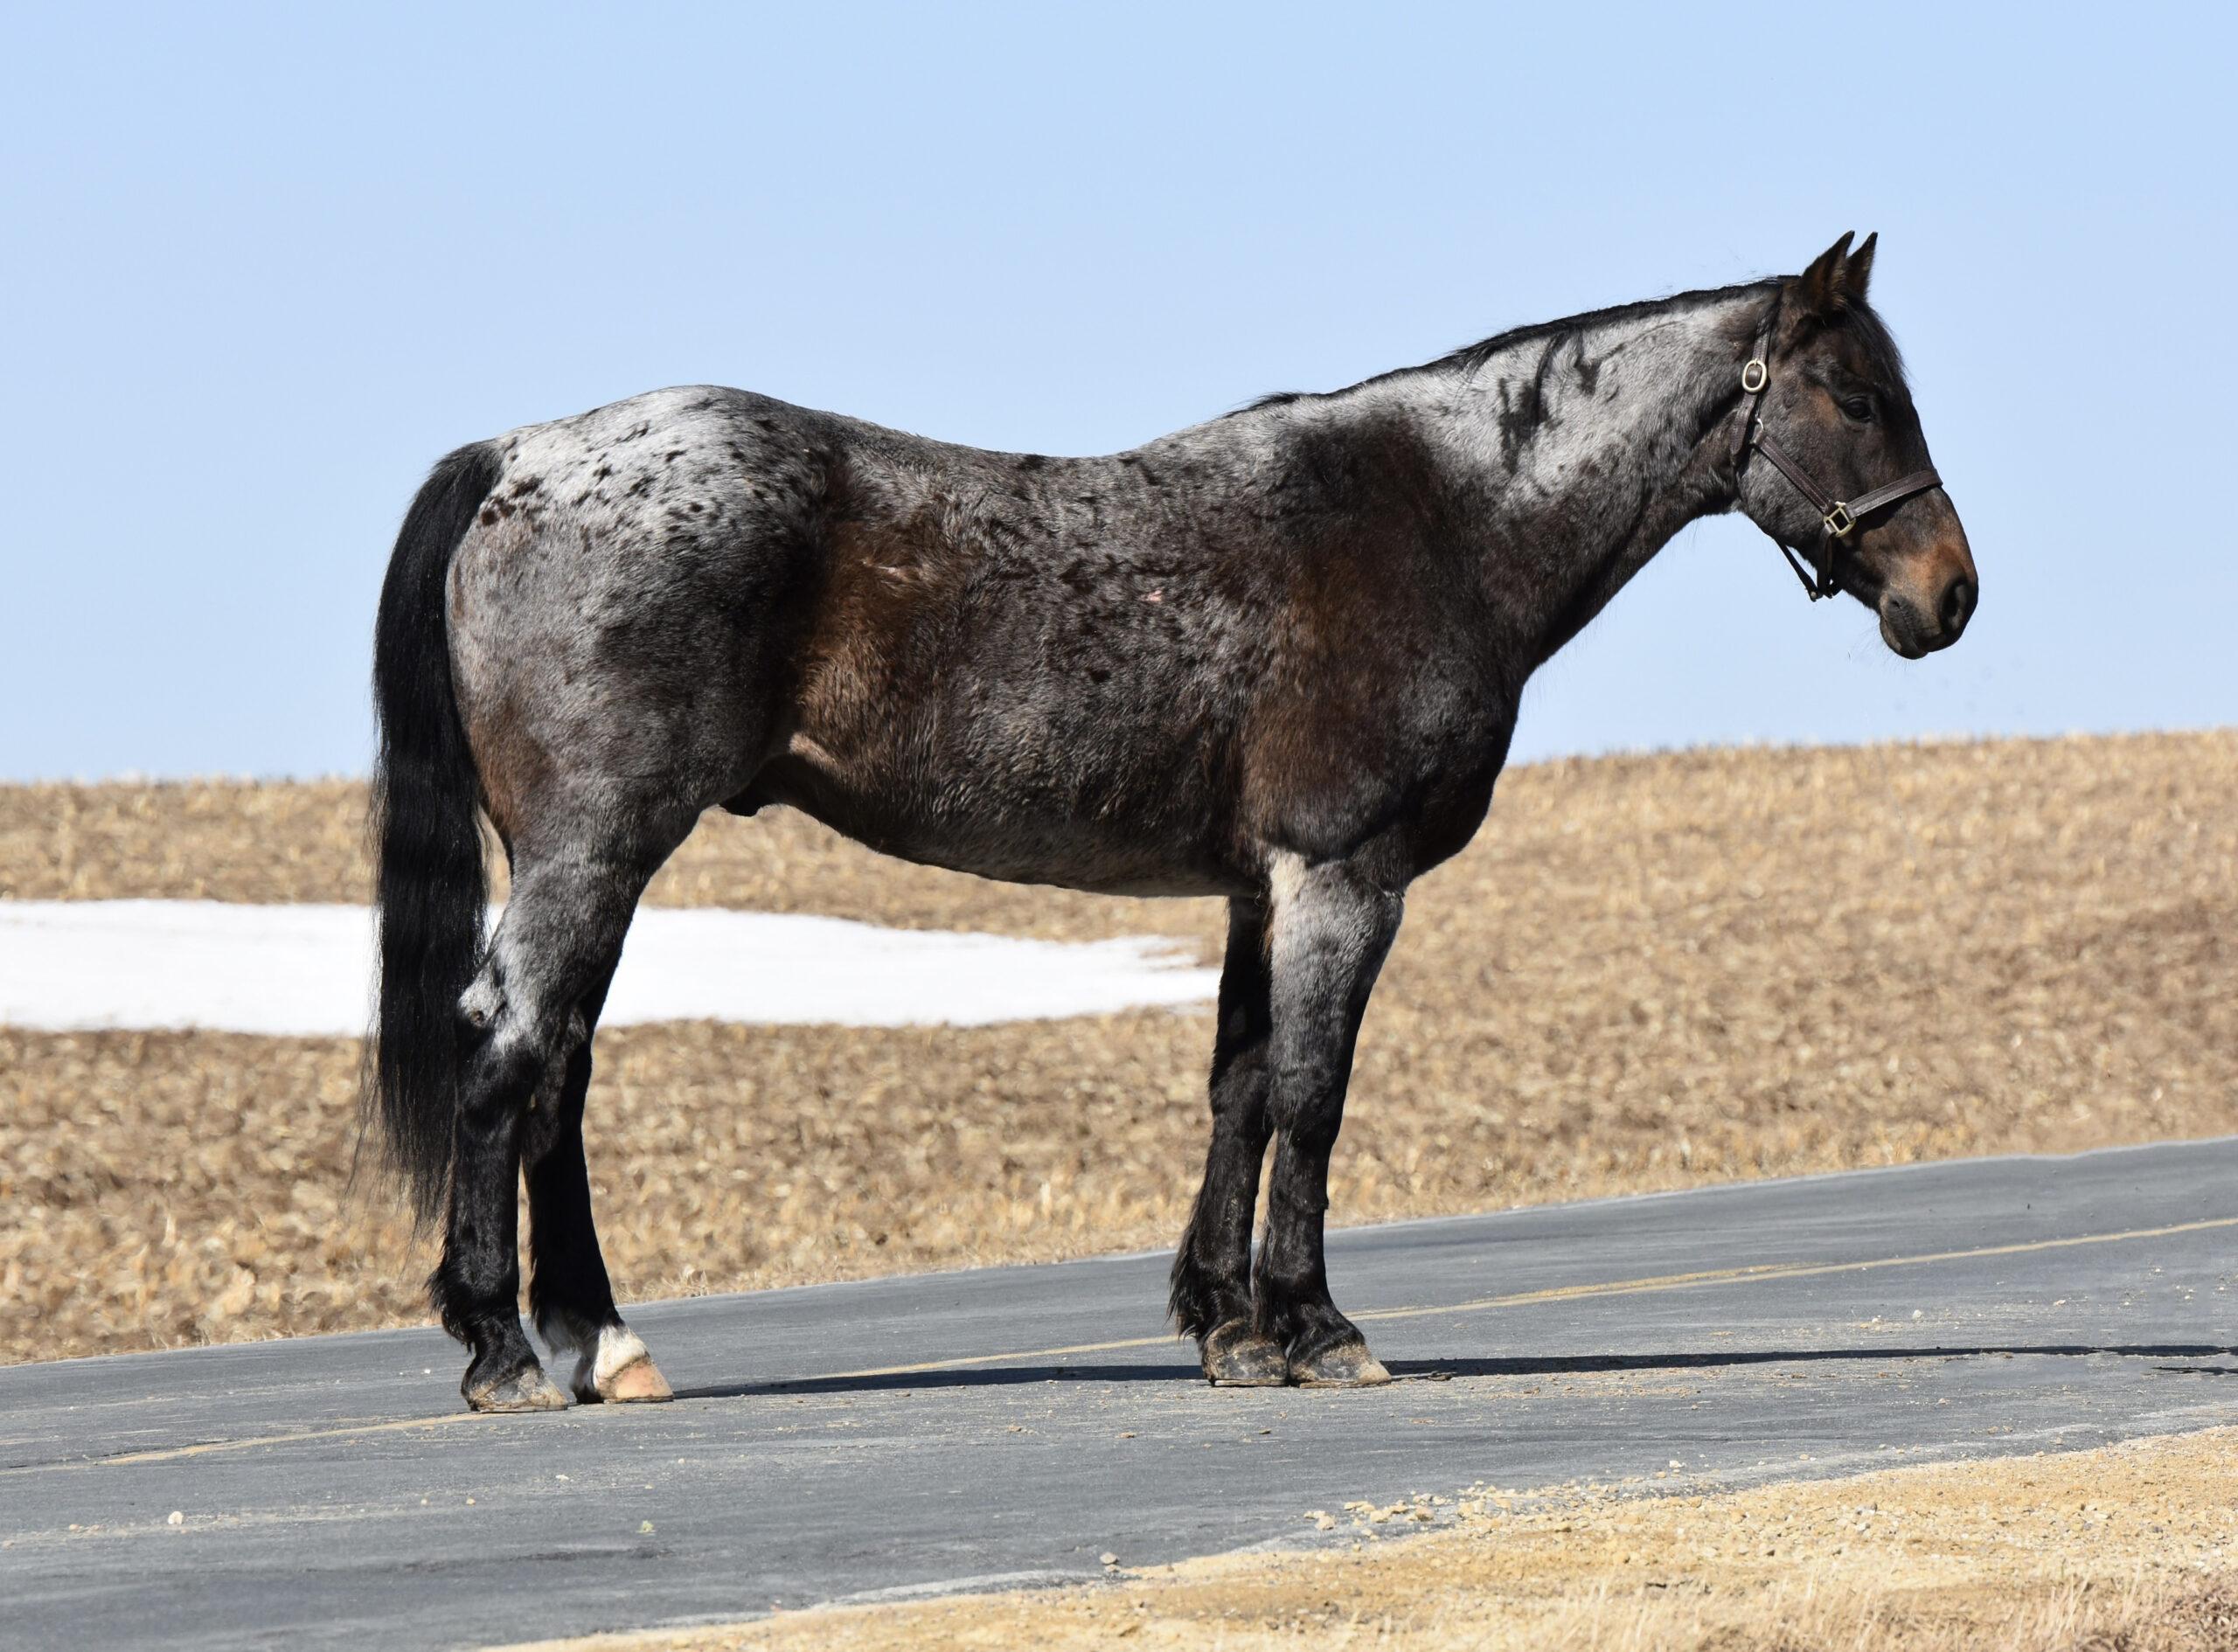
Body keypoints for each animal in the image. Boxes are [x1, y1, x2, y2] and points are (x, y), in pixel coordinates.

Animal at [367, 233, 1976, 1412]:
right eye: (1855, 396)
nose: (1947, 595)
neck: (1442, 518)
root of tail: (523, 454)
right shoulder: (1342, 879)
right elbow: (1312, 1099)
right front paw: (1318, 1328)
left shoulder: (1262, 888)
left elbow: (1240, 1088)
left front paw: (1228, 1326)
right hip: (595, 850)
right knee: (512, 1055)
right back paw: (506, 1349)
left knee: (560, 1066)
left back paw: (598, 1339)